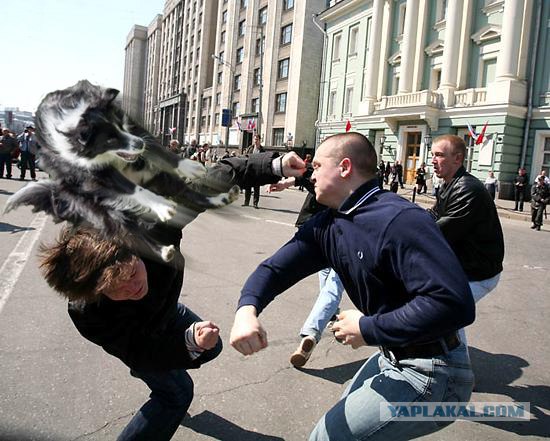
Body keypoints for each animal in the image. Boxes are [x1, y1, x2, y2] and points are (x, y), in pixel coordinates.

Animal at [4, 80, 239, 262]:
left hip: (160, 177)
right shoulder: (94, 172)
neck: (72, 118)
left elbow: (158, 148)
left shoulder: (132, 127)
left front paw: (187, 165)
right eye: (109, 140)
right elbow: (133, 189)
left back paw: (221, 198)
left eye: (119, 124)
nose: (139, 146)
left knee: (190, 194)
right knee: (132, 230)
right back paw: (162, 250)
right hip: (109, 210)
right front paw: (161, 205)